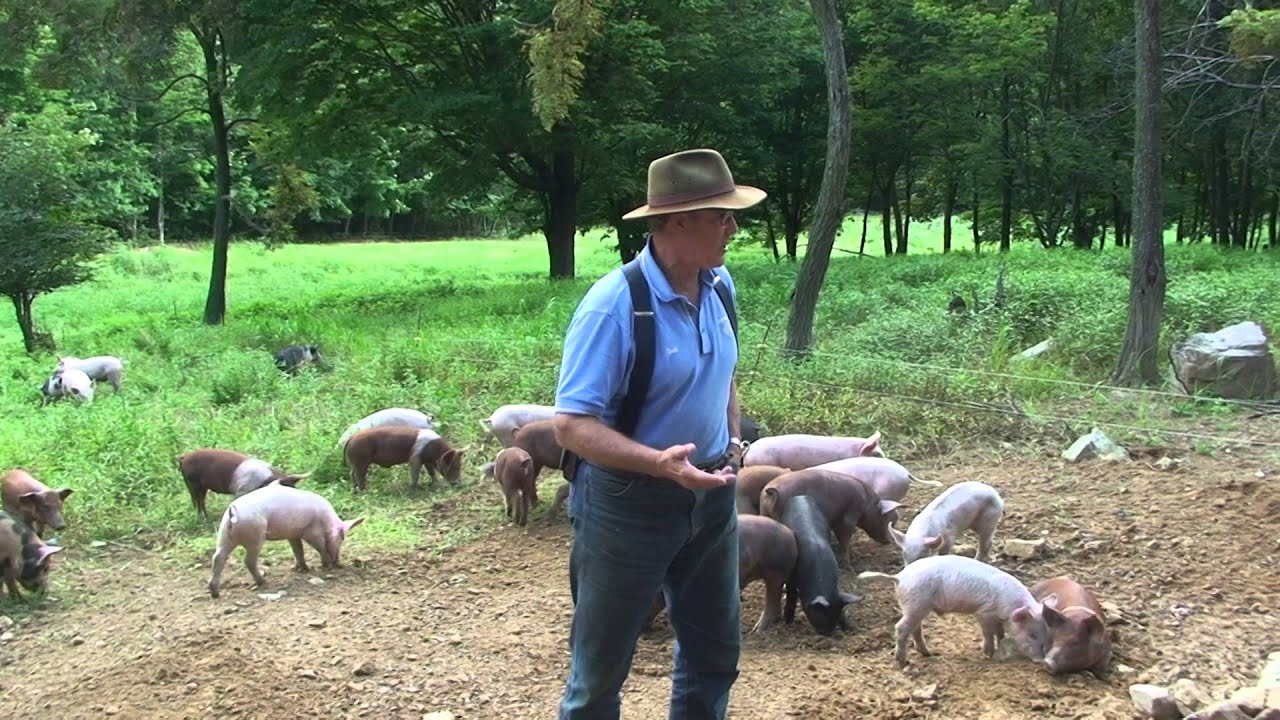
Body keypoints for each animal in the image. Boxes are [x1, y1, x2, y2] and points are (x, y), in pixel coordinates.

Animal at [177, 449, 310, 521]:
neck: (264, 482)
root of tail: (184, 457)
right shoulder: (240, 491)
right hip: (192, 483)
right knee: (197, 501)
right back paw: (203, 519)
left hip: (202, 486)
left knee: (201, 501)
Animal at [207, 483, 363, 598]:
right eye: (342, 537)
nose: (339, 563)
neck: (326, 521)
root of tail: (233, 513)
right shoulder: (311, 532)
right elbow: (319, 547)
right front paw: (326, 564)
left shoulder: (293, 534)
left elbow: (297, 550)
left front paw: (301, 568)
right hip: (255, 535)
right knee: (248, 560)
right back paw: (263, 581)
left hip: (224, 534)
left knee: (218, 557)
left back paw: (214, 592)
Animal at [759, 469, 900, 569]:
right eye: (887, 520)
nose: (889, 541)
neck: (867, 503)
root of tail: (771, 492)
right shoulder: (850, 516)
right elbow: (845, 538)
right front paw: (848, 567)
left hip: (764, 512)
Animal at [779, 495, 863, 636]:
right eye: (822, 614)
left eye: (835, 614)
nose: (828, 633)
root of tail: (800, 496)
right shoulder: (792, 577)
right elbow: (792, 595)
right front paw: (787, 622)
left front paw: (851, 628)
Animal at [857, 554, 1052, 668]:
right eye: (1032, 634)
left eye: (1047, 635)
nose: (1040, 660)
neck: (1009, 606)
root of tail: (899, 577)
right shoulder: (984, 612)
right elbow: (988, 633)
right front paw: (988, 654)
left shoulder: (997, 618)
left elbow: (1000, 633)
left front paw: (1000, 645)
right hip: (917, 603)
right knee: (901, 628)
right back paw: (903, 662)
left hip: (917, 607)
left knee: (915, 628)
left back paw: (928, 653)